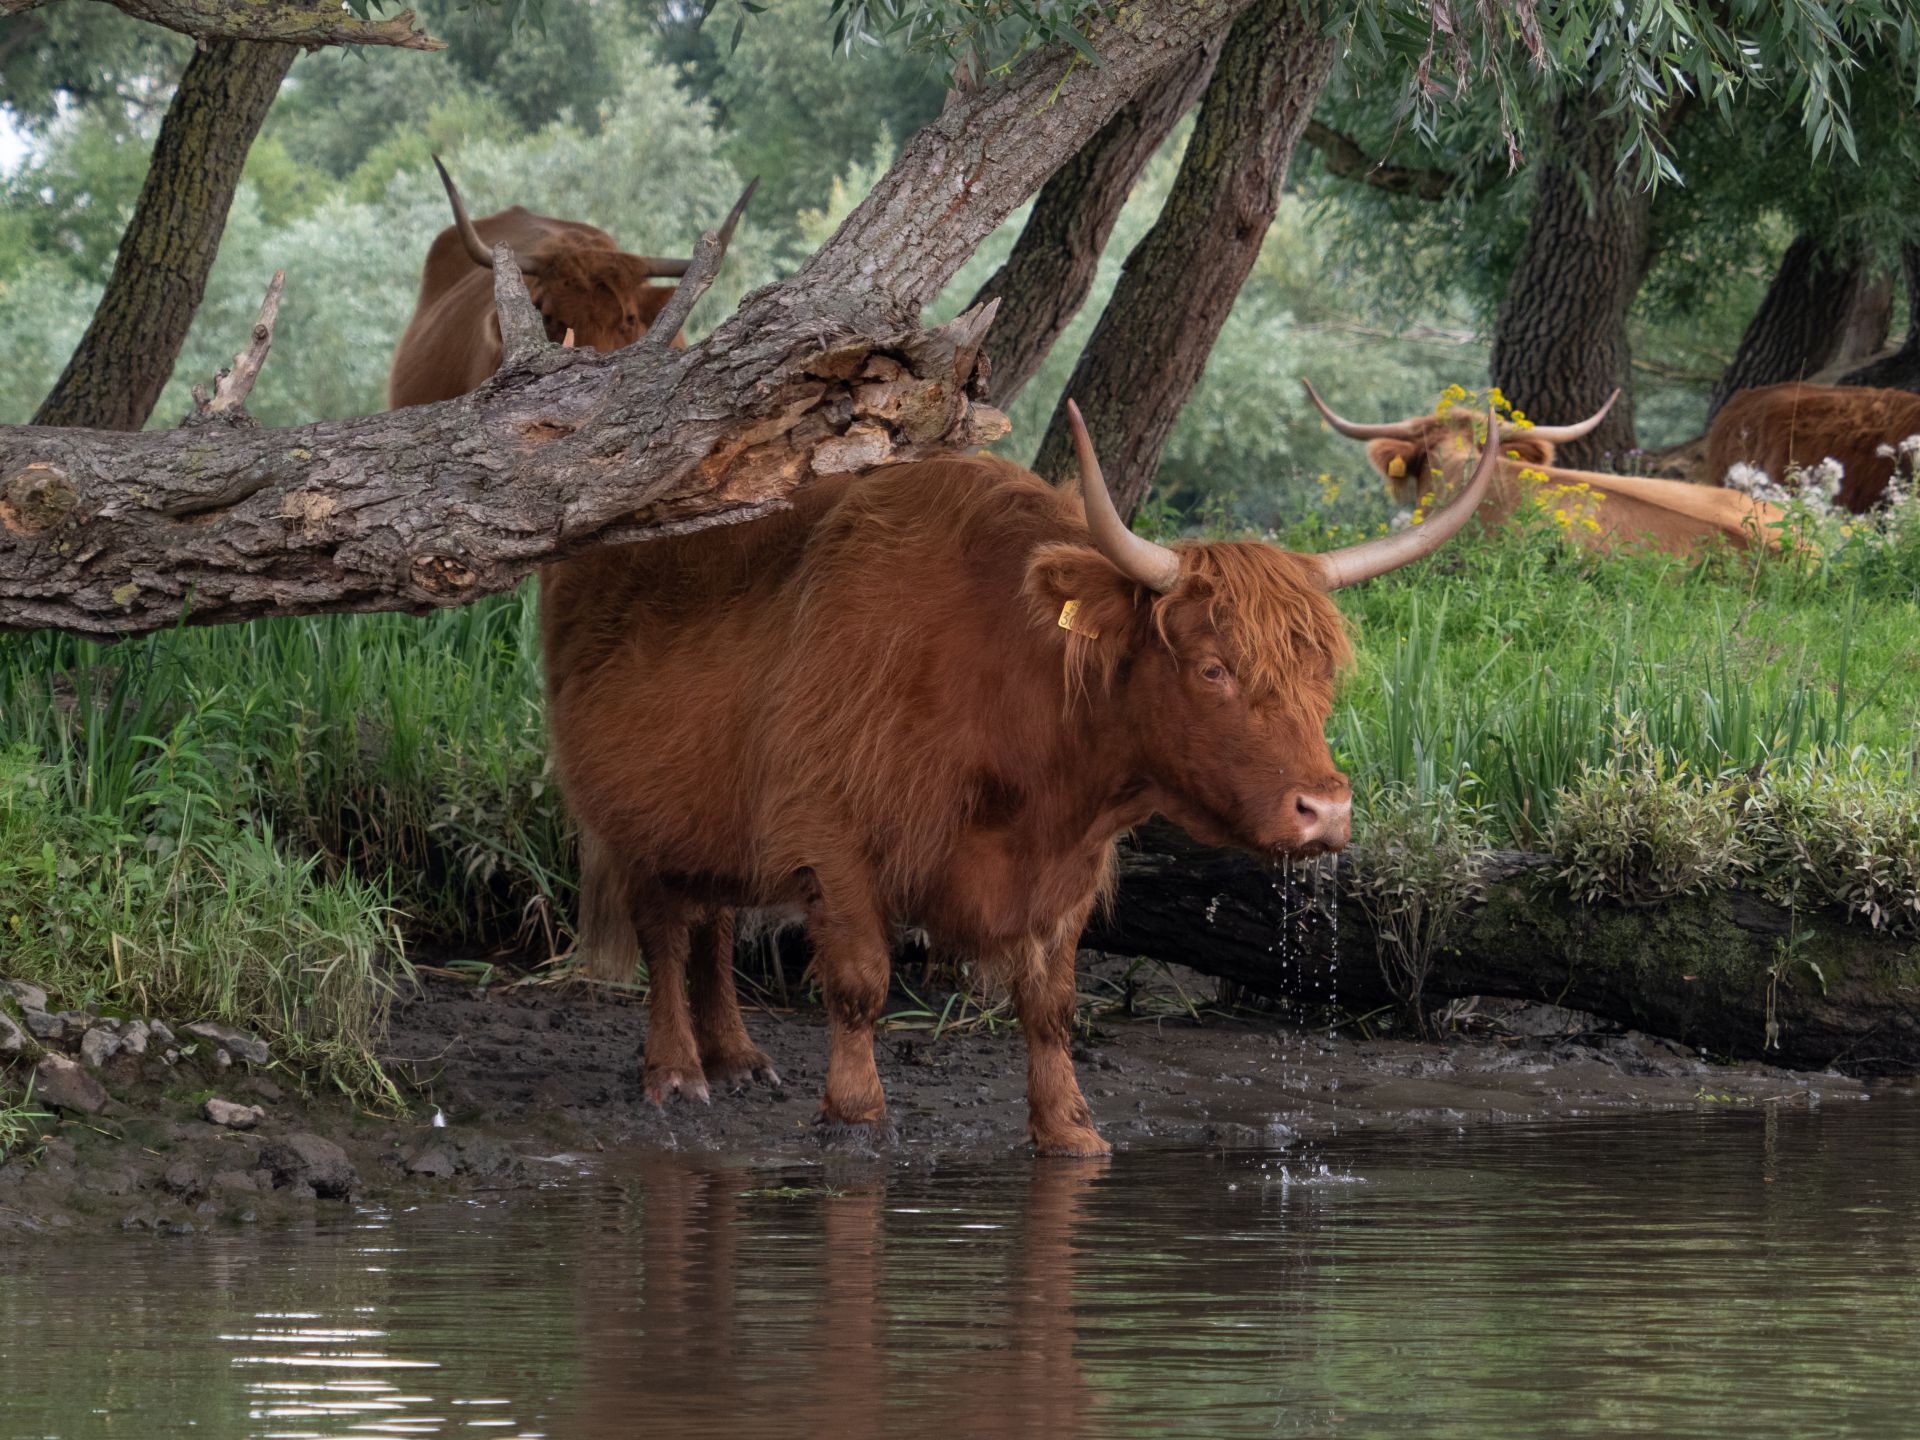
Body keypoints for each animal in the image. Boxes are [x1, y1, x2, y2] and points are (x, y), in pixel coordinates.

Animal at [537, 407, 1497, 1159]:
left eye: (1324, 675)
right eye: (1214, 668)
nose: (1324, 808)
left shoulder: (1067, 869)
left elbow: (1052, 1003)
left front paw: (1068, 1127)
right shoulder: (830, 835)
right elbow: (859, 981)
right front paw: (856, 1113)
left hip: (716, 818)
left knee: (713, 924)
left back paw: (737, 1057)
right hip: (628, 815)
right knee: (666, 933)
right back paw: (677, 1071)